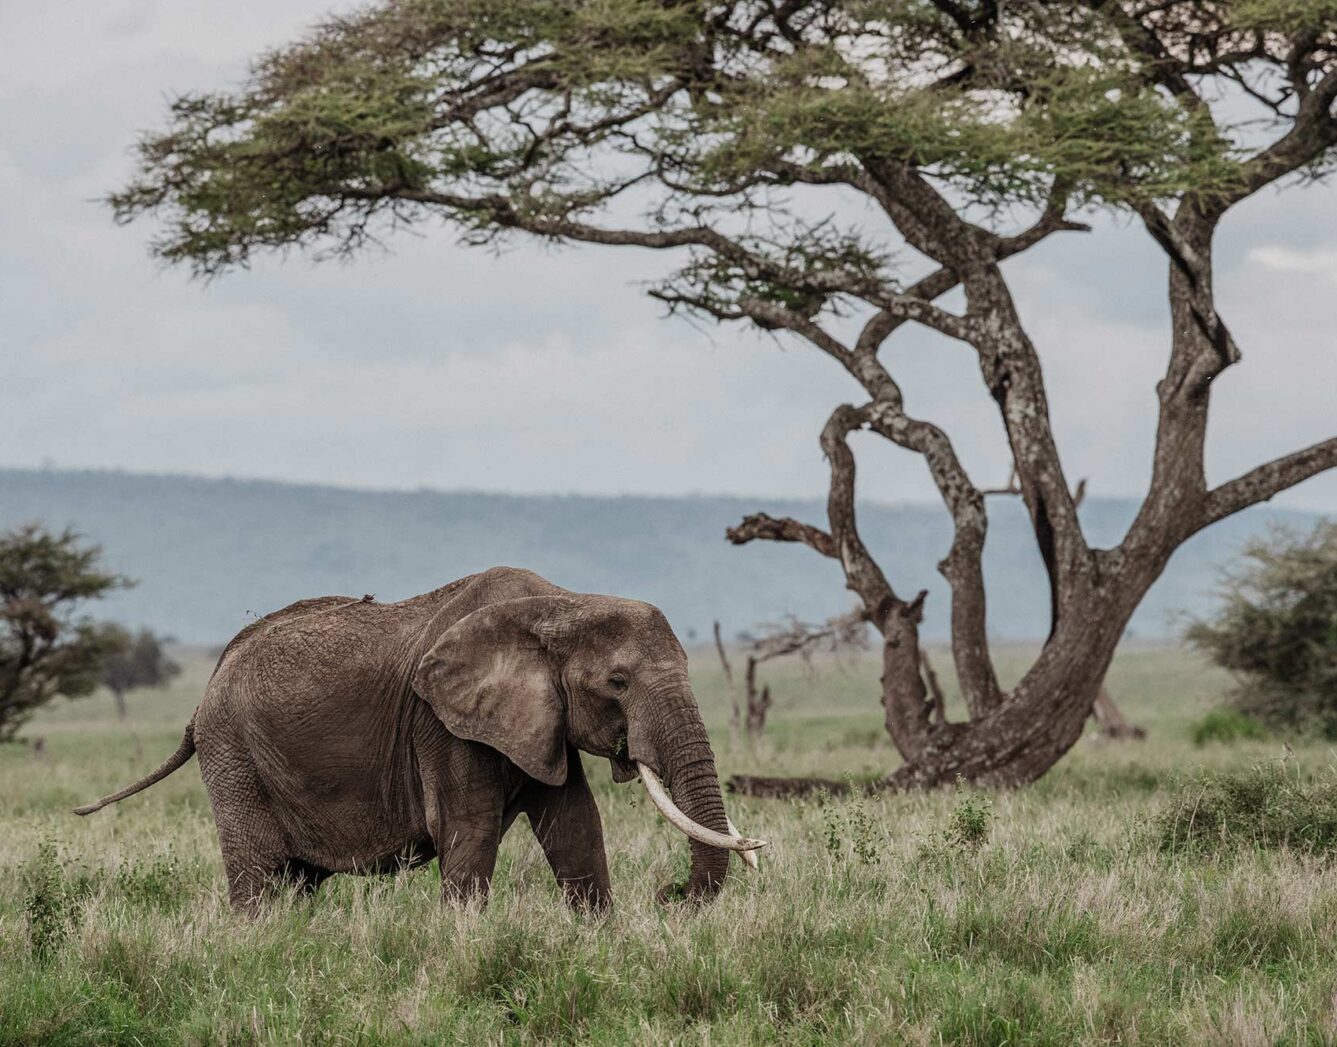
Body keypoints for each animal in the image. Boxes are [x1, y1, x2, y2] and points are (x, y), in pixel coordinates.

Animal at [75, 569, 764, 914]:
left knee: (296, 883)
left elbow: (575, 826)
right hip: (235, 755)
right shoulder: (440, 723)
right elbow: (469, 830)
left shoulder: (539, 722)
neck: (561, 603)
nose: (671, 895)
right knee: (261, 878)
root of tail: (202, 697)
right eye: (618, 683)